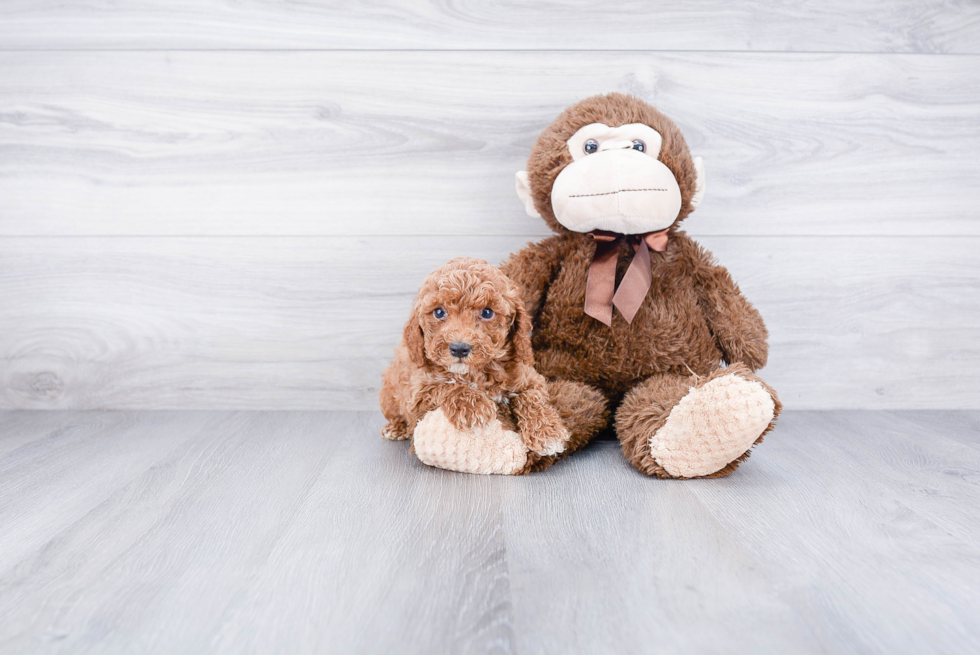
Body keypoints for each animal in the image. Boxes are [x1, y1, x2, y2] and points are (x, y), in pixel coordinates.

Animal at [378, 258, 572, 476]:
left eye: (487, 312)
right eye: (439, 312)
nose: (459, 348)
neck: (477, 373)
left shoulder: (529, 377)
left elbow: (531, 396)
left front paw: (548, 432)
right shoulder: (418, 393)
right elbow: (446, 385)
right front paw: (475, 407)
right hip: (389, 395)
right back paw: (395, 428)